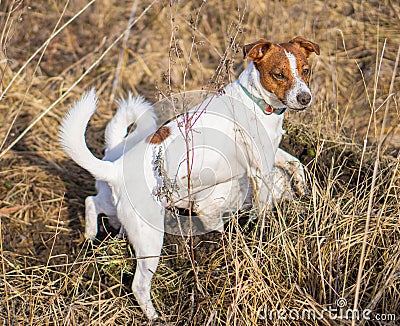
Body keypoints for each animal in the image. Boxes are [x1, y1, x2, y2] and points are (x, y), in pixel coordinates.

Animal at [61, 36, 320, 318]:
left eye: (306, 70)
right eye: (278, 74)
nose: (304, 98)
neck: (256, 100)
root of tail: (116, 169)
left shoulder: (271, 152)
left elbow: (295, 164)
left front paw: (302, 188)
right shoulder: (260, 169)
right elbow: (262, 211)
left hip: (116, 209)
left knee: (92, 202)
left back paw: (89, 235)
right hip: (150, 239)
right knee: (138, 285)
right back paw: (155, 316)